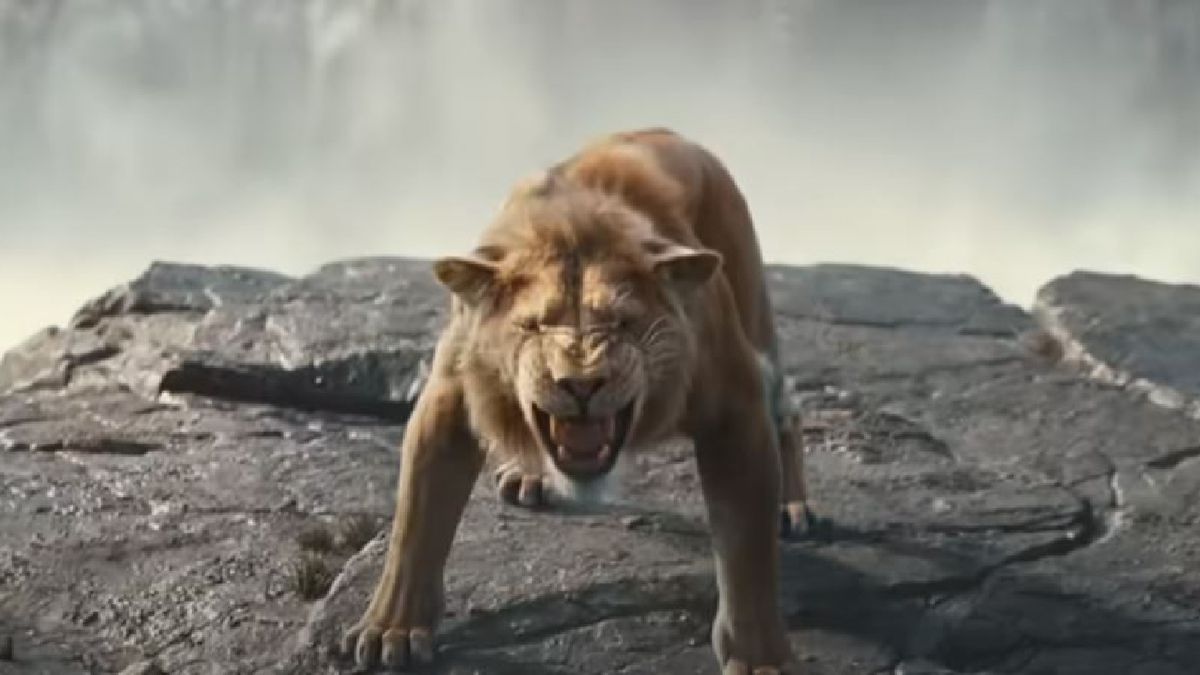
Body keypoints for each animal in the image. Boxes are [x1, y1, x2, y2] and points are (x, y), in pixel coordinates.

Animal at [341, 128, 812, 673]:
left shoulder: (735, 407)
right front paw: (390, 630)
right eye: (534, 326)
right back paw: (528, 476)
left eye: (623, 323)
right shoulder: (451, 394)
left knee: (788, 410)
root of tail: (673, 134)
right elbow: (416, 524)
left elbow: (747, 551)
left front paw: (761, 658)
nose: (581, 384)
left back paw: (793, 507)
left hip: (754, 312)